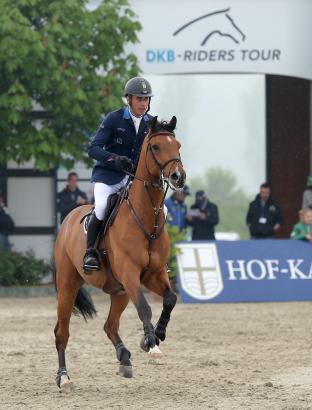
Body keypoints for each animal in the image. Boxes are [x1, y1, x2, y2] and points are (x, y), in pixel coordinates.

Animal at [53, 115, 185, 390]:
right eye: (156, 147)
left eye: (177, 145)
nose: (179, 177)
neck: (146, 217)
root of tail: (68, 218)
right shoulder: (130, 272)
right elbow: (145, 308)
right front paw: (152, 345)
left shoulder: (154, 274)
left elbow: (170, 299)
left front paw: (156, 335)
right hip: (68, 285)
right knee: (62, 332)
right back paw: (64, 378)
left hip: (120, 291)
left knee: (109, 325)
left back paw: (124, 358)